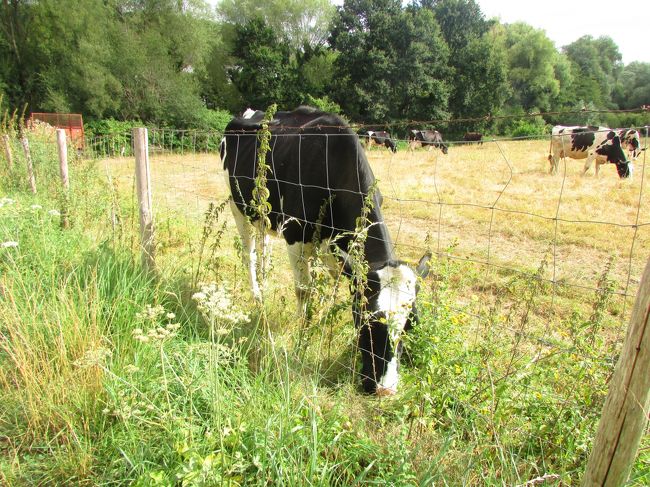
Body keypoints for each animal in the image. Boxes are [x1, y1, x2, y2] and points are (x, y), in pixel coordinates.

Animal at [219, 107, 430, 396]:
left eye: (411, 323)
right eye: (368, 321)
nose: (385, 389)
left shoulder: (337, 248)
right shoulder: (296, 235)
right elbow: (304, 290)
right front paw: (303, 331)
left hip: (265, 215)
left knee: (264, 251)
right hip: (238, 206)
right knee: (249, 255)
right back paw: (257, 295)